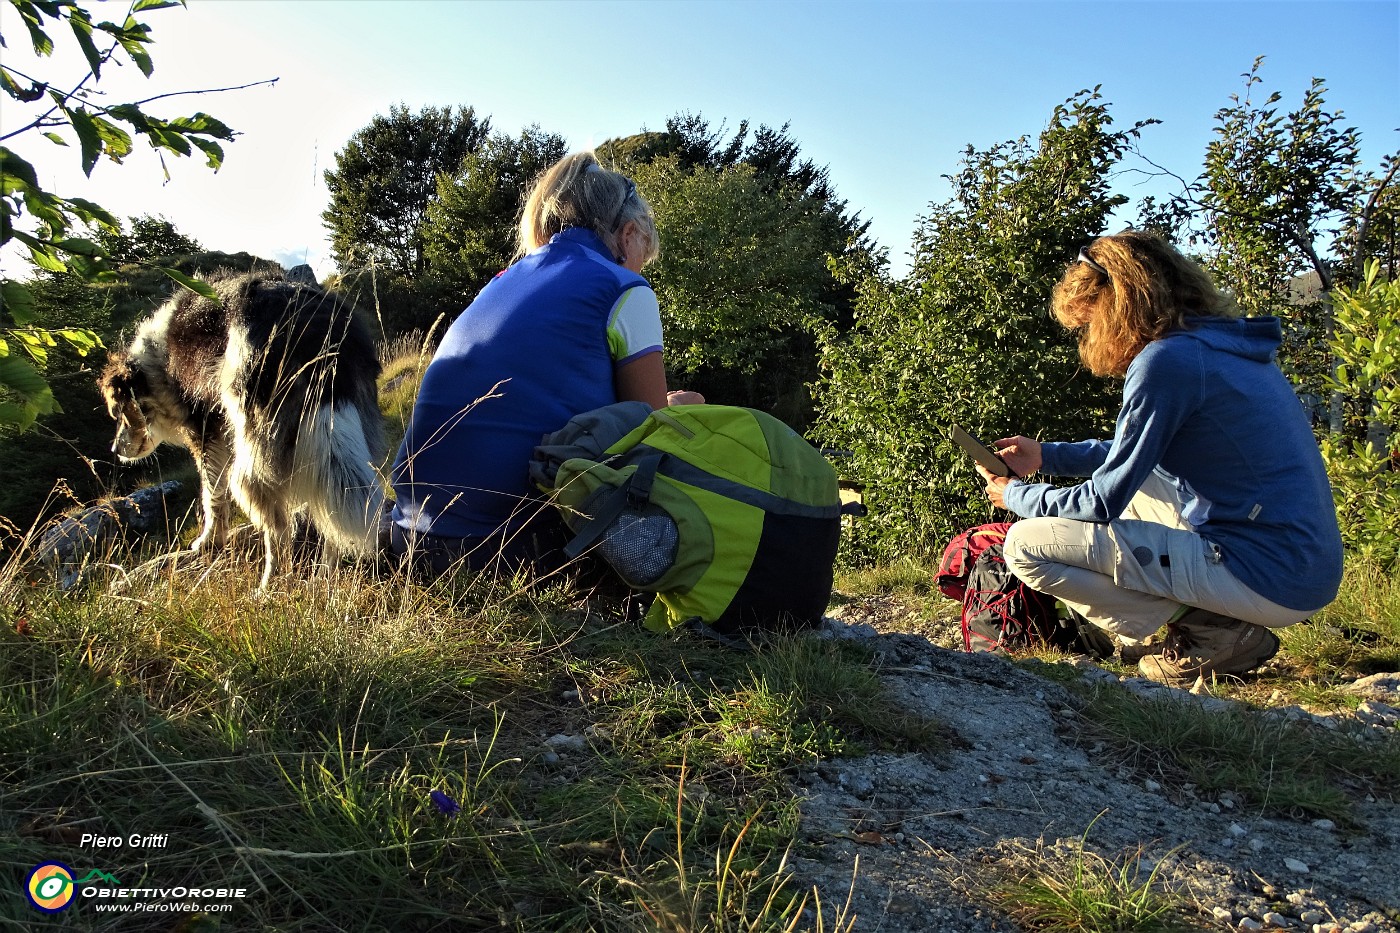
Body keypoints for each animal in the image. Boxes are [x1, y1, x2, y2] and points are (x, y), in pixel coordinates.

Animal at [99, 268, 386, 585]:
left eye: (117, 413)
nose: (114, 449)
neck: (155, 360)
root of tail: (314, 323)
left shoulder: (205, 431)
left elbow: (212, 493)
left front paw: (208, 541)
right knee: (328, 512)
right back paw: (325, 577)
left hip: (254, 447)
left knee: (276, 527)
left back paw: (270, 584)